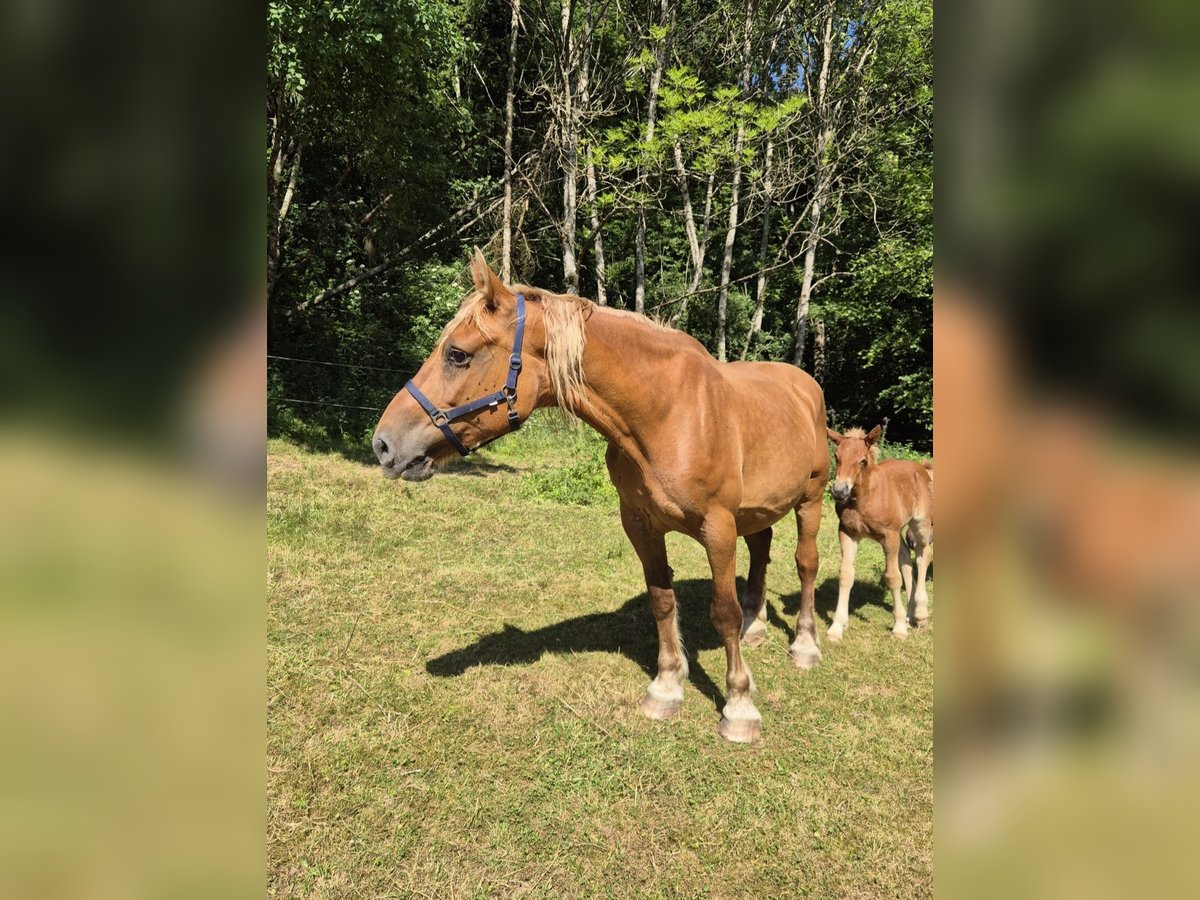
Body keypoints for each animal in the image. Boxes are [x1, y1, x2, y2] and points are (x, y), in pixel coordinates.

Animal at [372, 251, 830, 743]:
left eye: (457, 354)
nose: (383, 445)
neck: (667, 413)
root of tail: (805, 386)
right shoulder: (640, 524)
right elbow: (661, 600)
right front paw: (667, 687)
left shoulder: (718, 527)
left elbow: (722, 611)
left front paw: (740, 705)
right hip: (758, 511)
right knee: (761, 553)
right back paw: (755, 628)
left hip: (811, 499)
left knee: (805, 564)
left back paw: (805, 645)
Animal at [825, 425, 934, 640]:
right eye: (836, 455)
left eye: (863, 460)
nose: (840, 491)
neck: (863, 498)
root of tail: (921, 469)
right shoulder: (848, 533)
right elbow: (846, 575)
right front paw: (836, 627)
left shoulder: (888, 535)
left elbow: (892, 577)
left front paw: (898, 627)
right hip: (899, 532)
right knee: (906, 560)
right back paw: (910, 615)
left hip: (920, 524)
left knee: (923, 556)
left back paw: (920, 615)